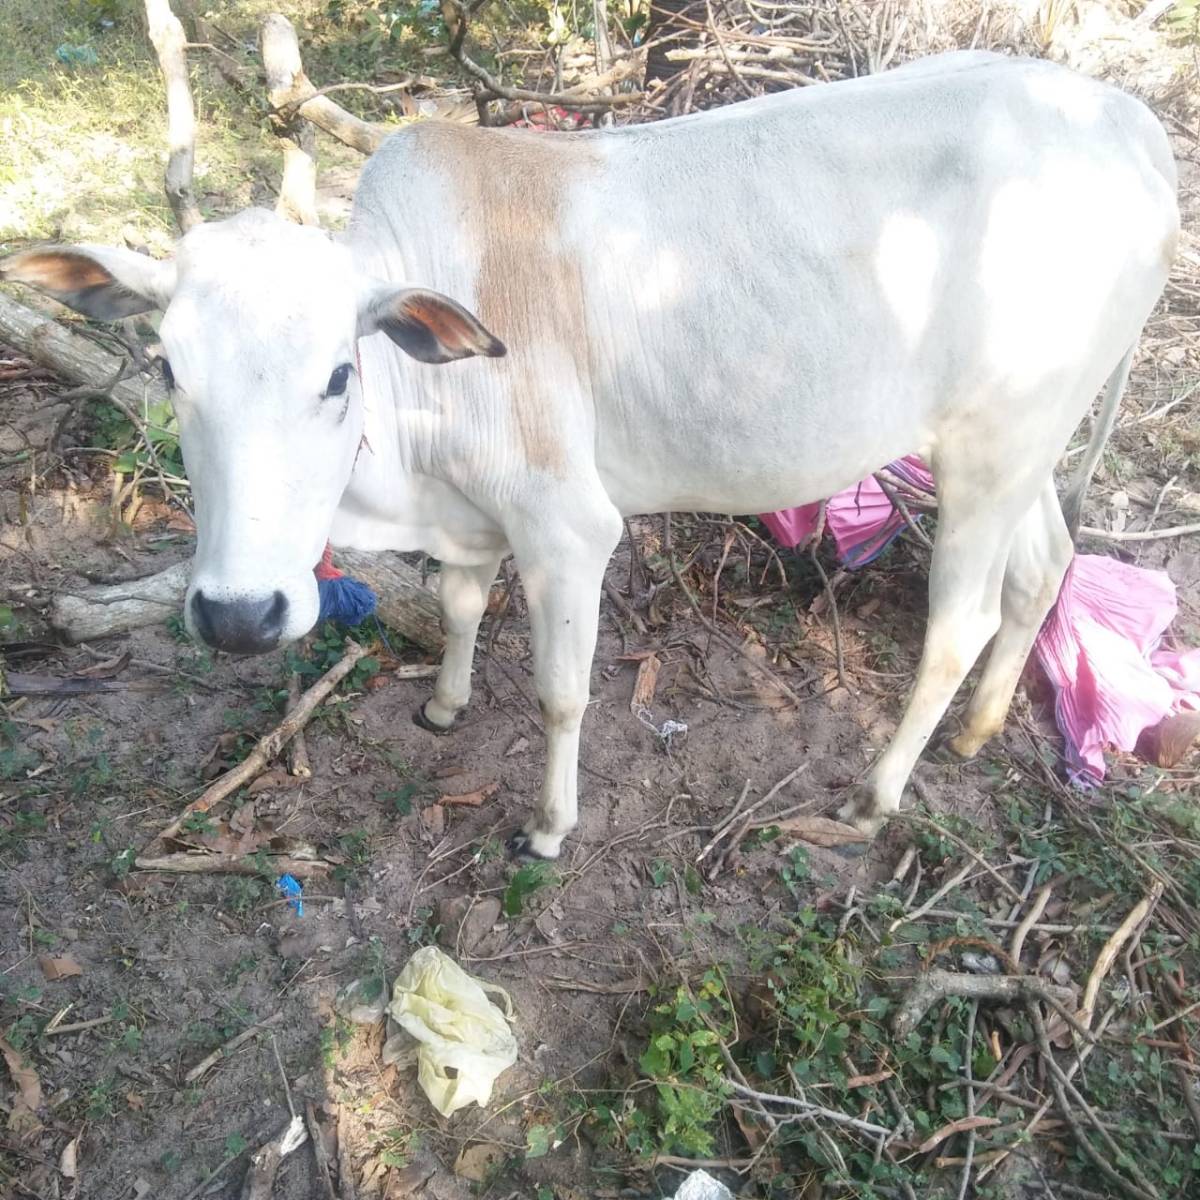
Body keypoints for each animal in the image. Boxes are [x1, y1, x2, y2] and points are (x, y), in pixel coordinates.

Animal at [2, 50, 1178, 858]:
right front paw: (445, 702)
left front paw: (550, 824)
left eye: (338, 373)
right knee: (1044, 569)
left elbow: (560, 691)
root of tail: (1132, 125)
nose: (240, 616)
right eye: (168, 368)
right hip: (1016, 443)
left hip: (995, 447)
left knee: (959, 622)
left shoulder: (567, 527)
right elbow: (462, 606)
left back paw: (878, 790)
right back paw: (980, 731)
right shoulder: (472, 520)